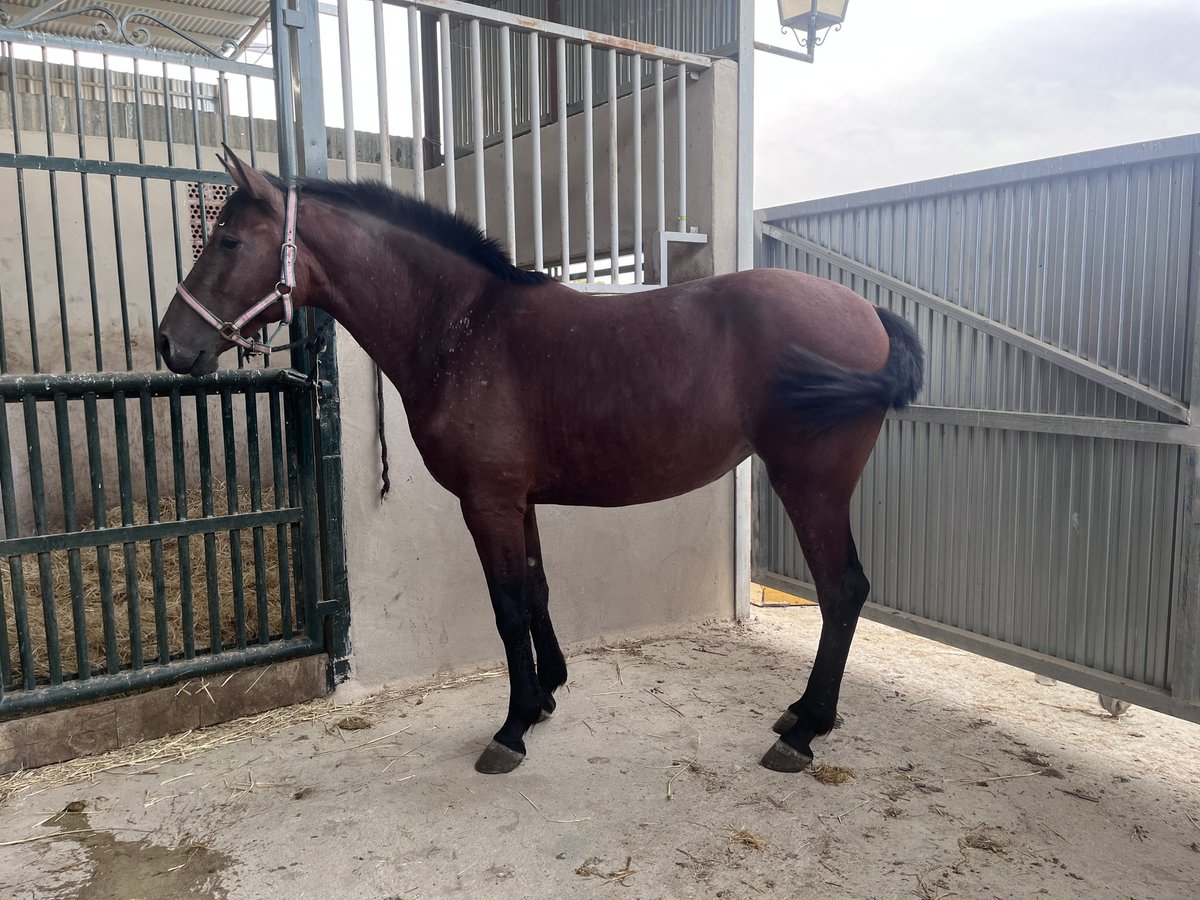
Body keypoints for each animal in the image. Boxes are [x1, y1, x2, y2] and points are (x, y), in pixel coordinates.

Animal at [156, 148, 923, 775]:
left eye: (227, 239)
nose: (170, 343)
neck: (463, 327)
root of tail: (869, 313)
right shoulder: (517, 499)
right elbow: (537, 591)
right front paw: (548, 692)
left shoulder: (486, 501)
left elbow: (507, 605)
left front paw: (513, 725)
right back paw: (801, 716)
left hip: (812, 483)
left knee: (843, 590)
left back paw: (805, 730)